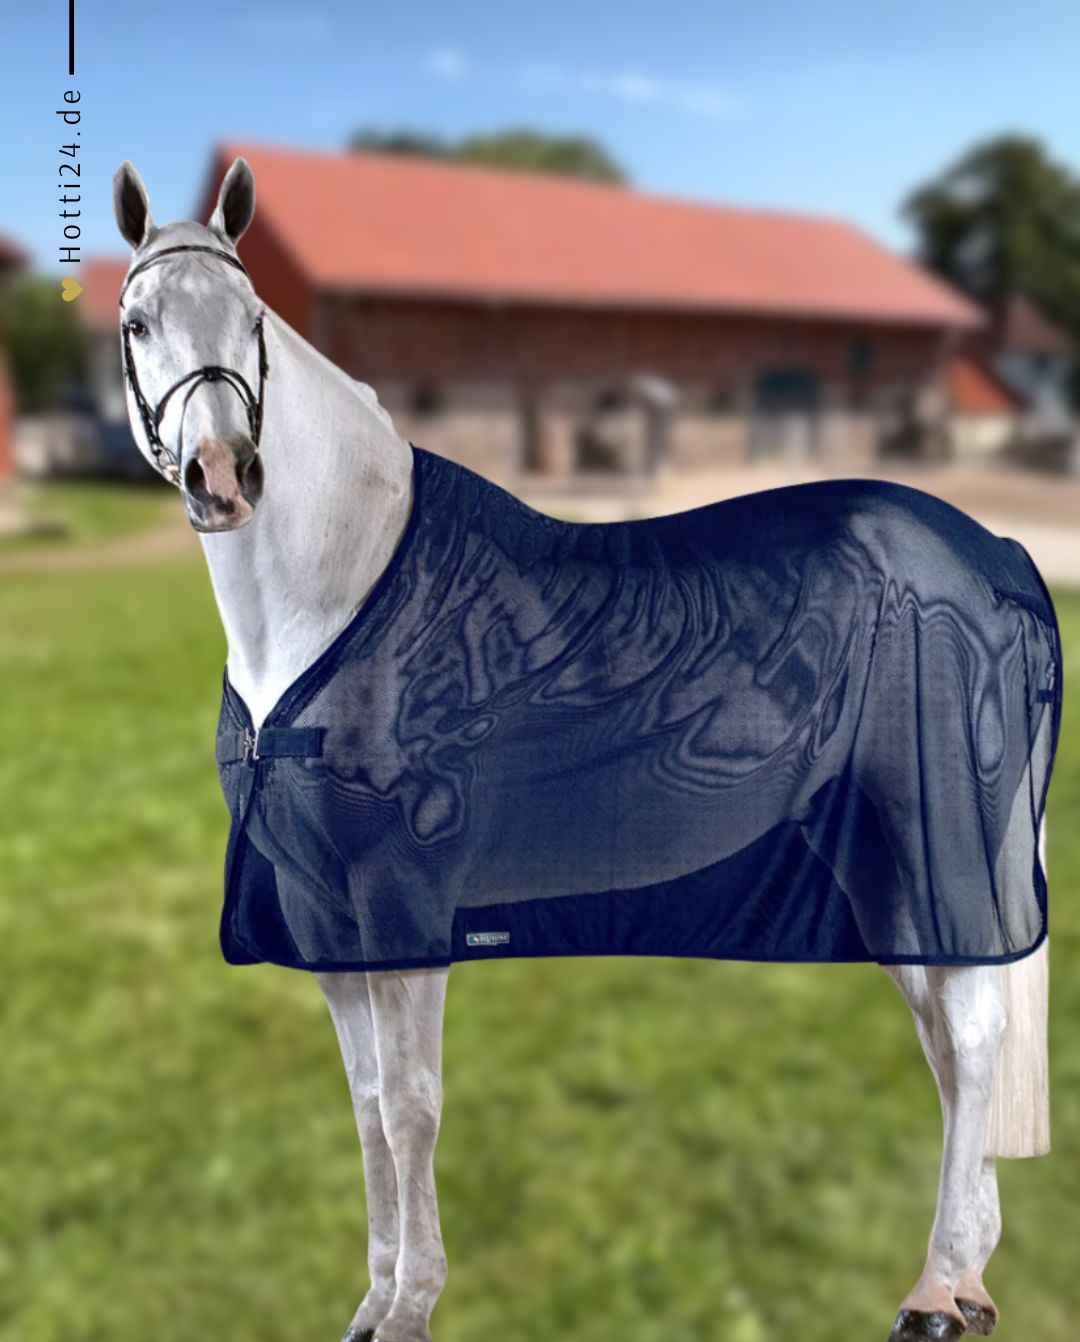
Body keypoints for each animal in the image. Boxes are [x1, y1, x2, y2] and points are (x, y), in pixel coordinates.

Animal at [111, 156, 1056, 1342]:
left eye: (252, 322)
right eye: (137, 321)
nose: (223, 473)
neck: (338, 597)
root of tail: (995, 552)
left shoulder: (403, 899)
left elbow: (412, 1107)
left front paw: (413, 1306)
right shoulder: (324, 912)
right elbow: (366, 1106)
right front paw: (372, 1300)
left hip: (937, 833)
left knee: (970, 1036)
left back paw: (935, 1292)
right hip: (876, 858)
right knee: (944, 1030)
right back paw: (967, 1272)